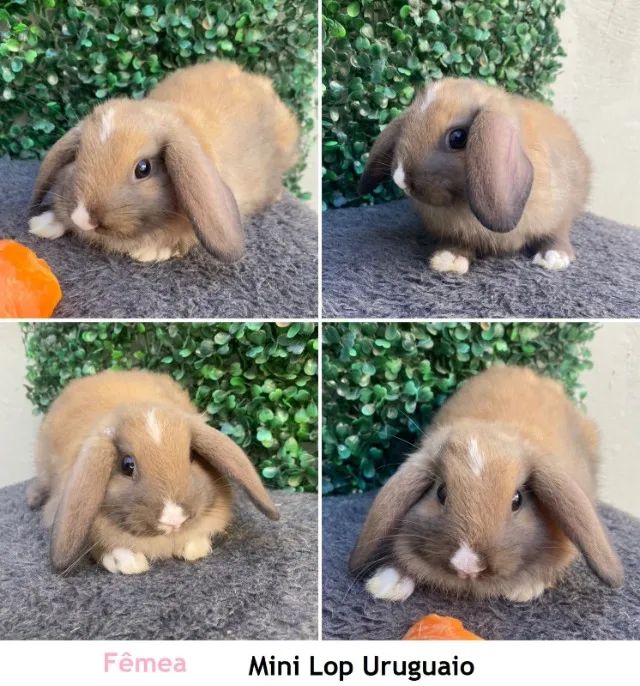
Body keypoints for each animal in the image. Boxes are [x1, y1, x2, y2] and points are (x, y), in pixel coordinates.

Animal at [358, 78, 590, 274]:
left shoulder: (560, 211)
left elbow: (556, 233)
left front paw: (554, 258)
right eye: (406, 127)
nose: (400, 178)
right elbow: (459, 243)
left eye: (458, 137)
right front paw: (448, 259)